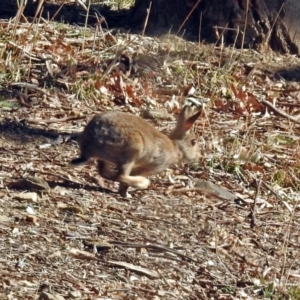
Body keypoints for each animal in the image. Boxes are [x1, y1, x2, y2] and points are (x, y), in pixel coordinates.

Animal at [70, 105, 202, 197]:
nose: (199, 157)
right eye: (193, 142)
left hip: (108, 158)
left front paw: (123, 193)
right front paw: (125, 193)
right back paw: (142, 183)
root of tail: (88, 148)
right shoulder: (151, 167)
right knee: (121, 175)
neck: (176, 148)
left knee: (105, 172)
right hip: (132, 150)